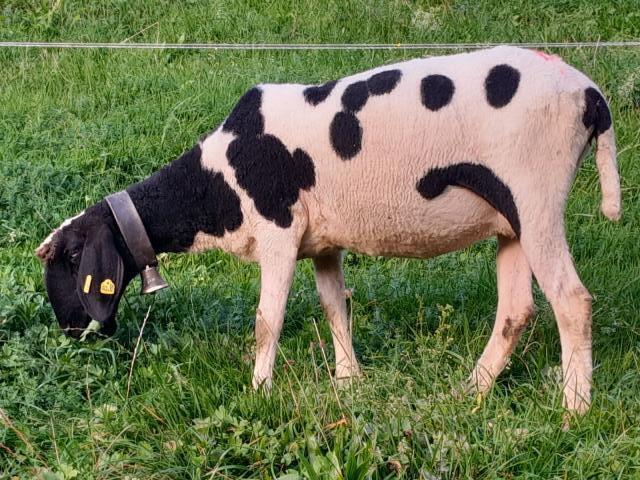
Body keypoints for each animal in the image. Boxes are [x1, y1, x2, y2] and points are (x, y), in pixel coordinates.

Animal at [37, 46, 621, 414]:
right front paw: (348, 381)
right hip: (511, 222)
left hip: (536, 199)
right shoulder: (322, 242)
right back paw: (470, 391)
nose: (68, 329)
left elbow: (266, 321)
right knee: (516, 310)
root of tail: (589, 93)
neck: (219, 178)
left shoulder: (278, 231)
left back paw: (573, 409)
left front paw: (258, 392)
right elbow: (334, 306)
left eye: (72, 258)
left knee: (572, 300)